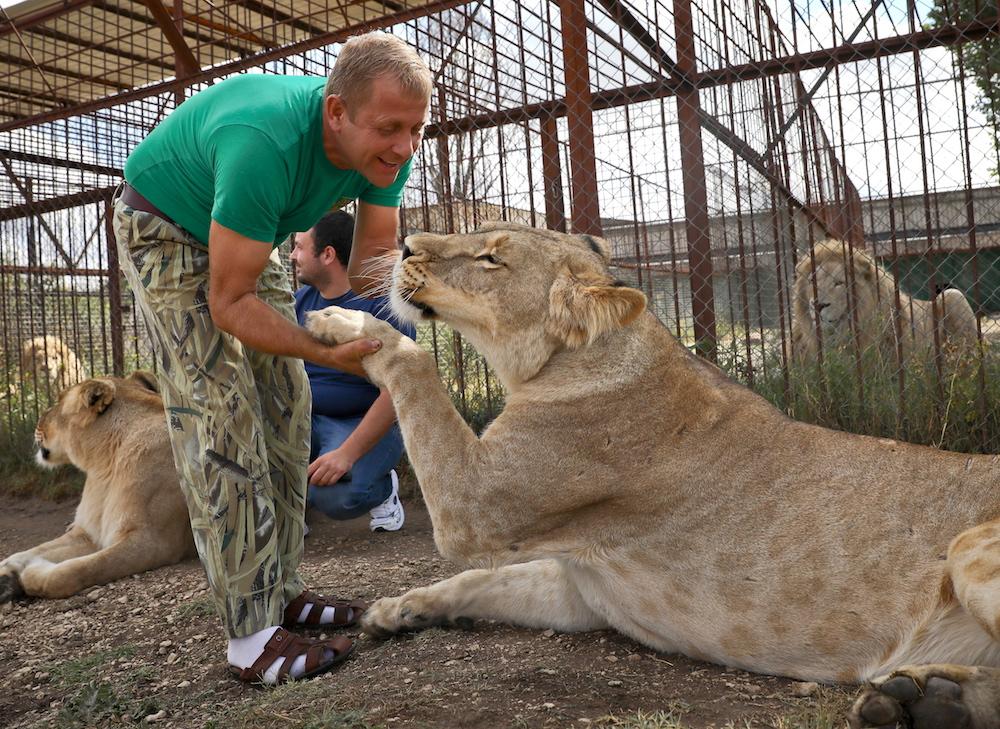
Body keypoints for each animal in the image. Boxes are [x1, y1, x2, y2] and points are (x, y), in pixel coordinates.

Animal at [0, 372, 195, 600]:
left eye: (58, 402)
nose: (38, 420)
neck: (104, 465)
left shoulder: (153, 541)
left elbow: (76, 570)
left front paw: (32, 572)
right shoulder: (88, 533)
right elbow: (37, 549)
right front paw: (7, 571)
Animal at [310, 223, 1000, 728]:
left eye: (491, 259)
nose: (404, 244)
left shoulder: (473, 505)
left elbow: (414, 363)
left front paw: (346, 325)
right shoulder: (581, 587)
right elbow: (484, 579)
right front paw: (399, 610)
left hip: (971, 546)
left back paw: (920, 703)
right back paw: (923, 700)